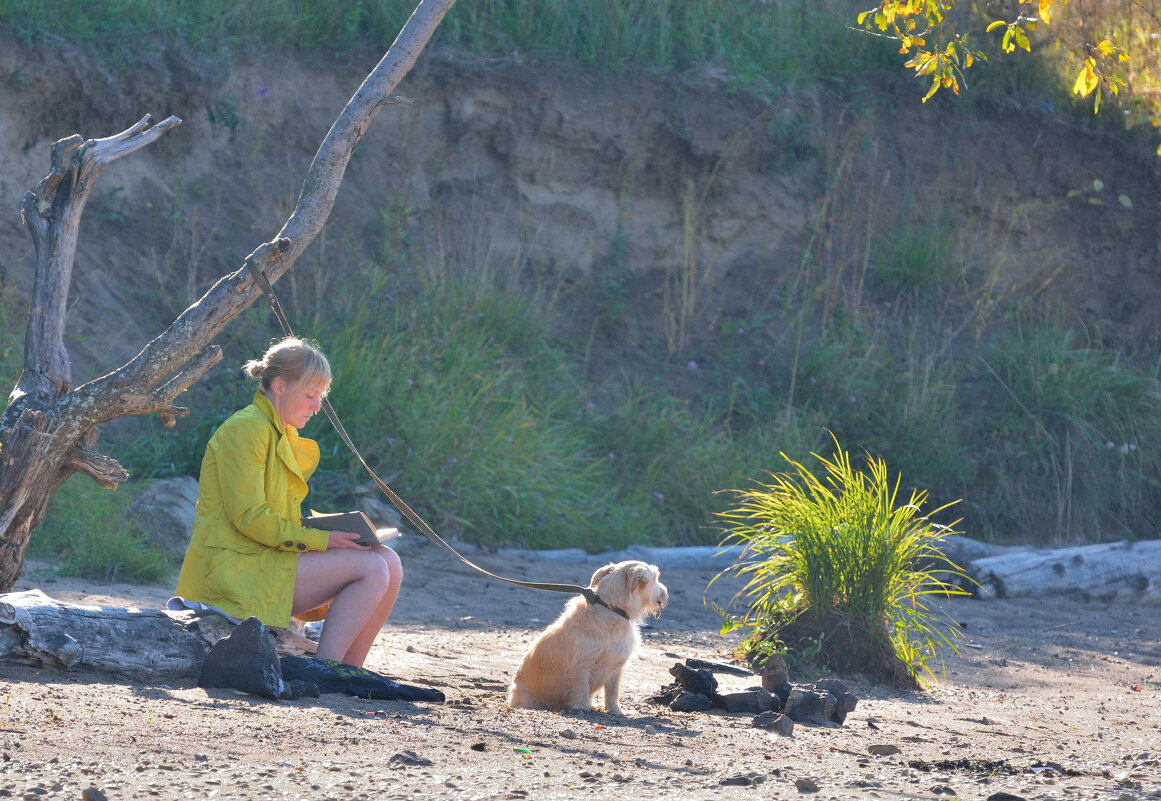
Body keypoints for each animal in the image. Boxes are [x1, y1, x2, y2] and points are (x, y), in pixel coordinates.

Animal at [506, 559, 668, 715]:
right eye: (656, 577)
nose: (666, 593)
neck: (612, 610)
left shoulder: (616, 668)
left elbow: (612, 692)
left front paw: (615, 710)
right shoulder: (581, 666)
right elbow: (582, 688)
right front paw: (582, 708)